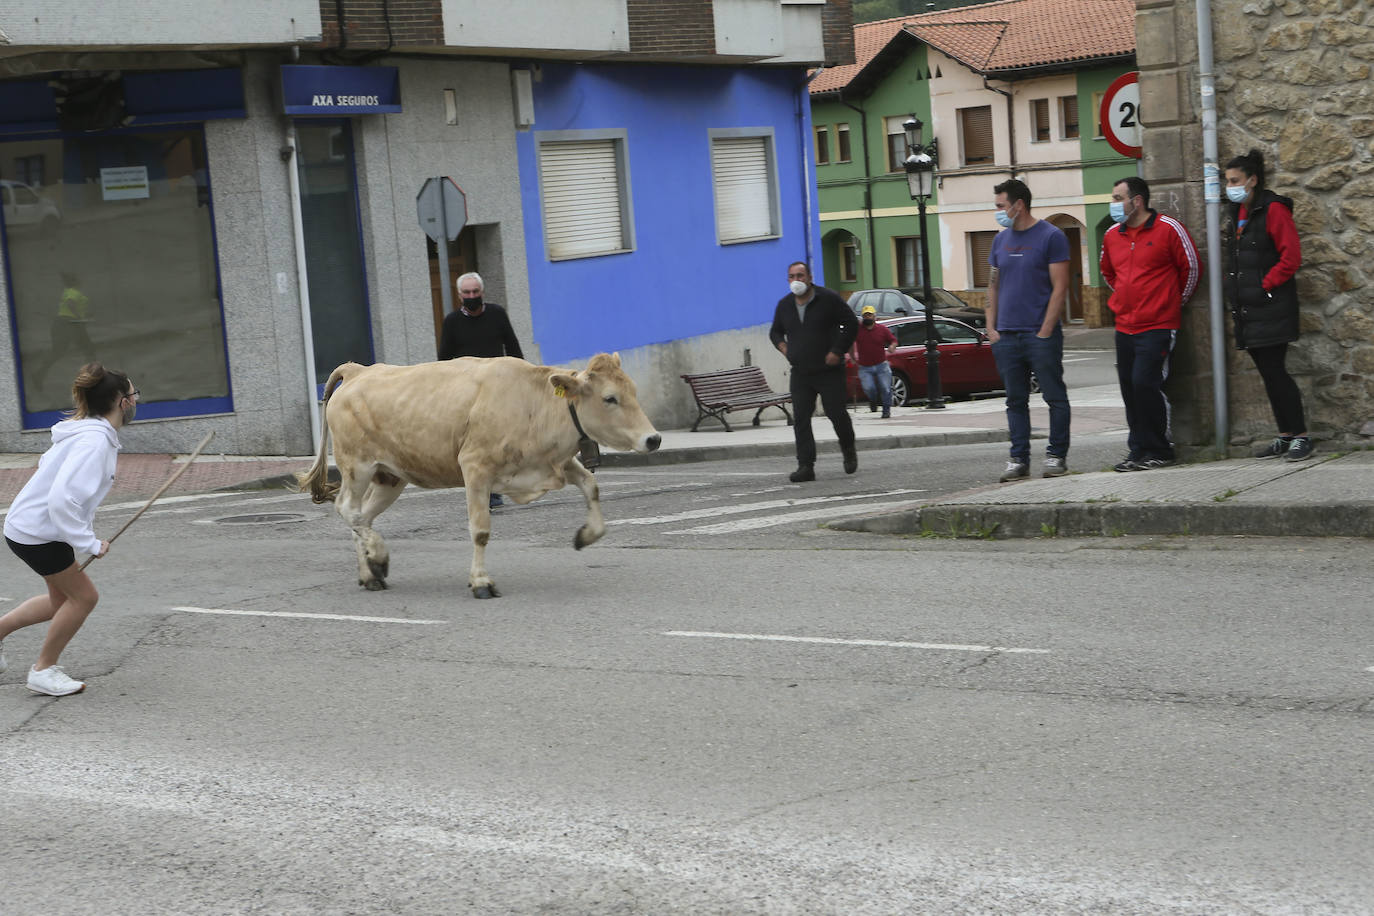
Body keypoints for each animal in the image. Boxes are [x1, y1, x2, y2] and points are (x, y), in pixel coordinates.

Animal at [298, 354, 662, 601]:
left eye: (632, 391)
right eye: (610, 398)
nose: (654, 439)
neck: (533, 403)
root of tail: (360, 370)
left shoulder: (554, 462)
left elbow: (591, 485)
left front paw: (586, 535)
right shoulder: (474, 468)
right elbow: (481, 531)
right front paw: (481, 582)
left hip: (390, 476)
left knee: (363, 517)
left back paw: (370, 572)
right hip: (356, 467)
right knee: (347, 509)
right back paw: (379, 556)